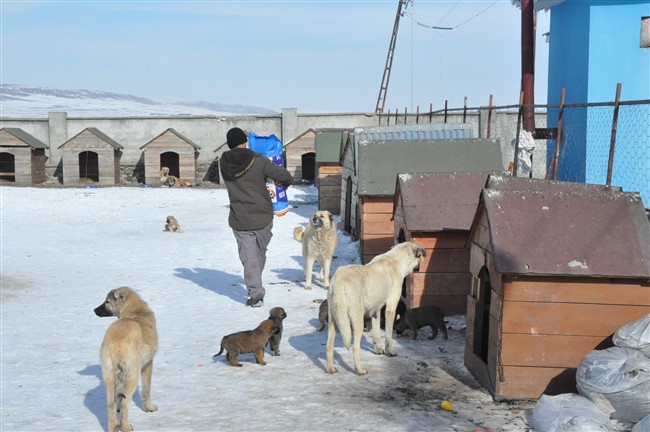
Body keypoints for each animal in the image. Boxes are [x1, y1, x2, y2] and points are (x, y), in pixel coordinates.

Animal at [324, 241, 426, 376]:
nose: (419, 268)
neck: (395, 260)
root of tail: (339, 280)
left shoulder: (376, 311)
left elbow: (376, 333)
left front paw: (377, 350)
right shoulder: (390, 308)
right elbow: (388, 335)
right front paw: (390, 352)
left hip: (334, 321)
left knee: (329, 345)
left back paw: (330, 369)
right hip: (357, 321)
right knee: (355, 347)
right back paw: (359, 370)